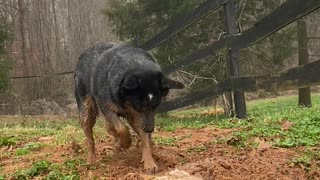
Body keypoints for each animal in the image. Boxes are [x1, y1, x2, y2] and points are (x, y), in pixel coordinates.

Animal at [74, 42, 184, 173]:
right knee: (89, 134)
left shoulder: (139, 116)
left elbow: (144, 139)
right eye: (139, 106)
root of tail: (85, 52)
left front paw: (149, 163)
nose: (150, 129)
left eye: (155, 106)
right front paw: (125, 143)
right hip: (86, 107)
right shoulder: (106, 105)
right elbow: (122, 128)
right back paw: (91, 160)